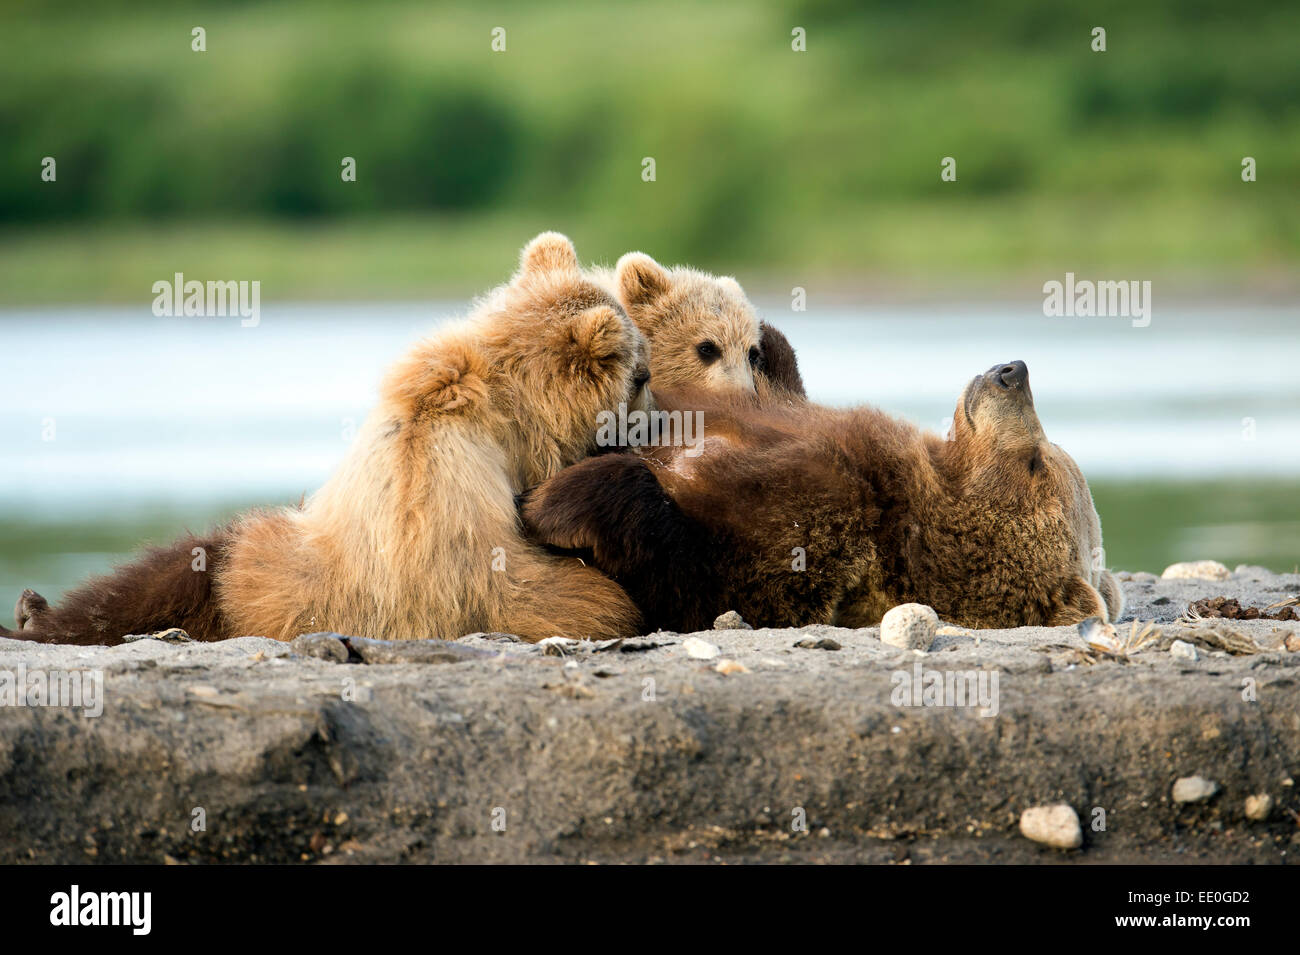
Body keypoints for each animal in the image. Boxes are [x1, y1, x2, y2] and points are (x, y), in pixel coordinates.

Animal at [520, 359, 1124, 633]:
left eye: (1037, 462)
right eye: (1049, 453)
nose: (1013, 371)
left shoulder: (825, 533)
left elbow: (702, 572)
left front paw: (554, 504)